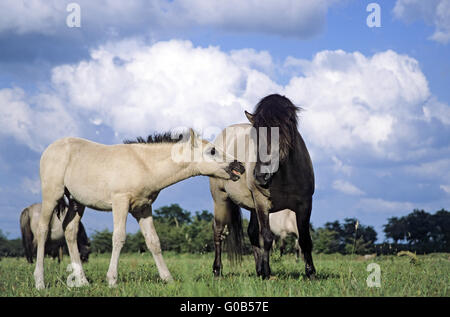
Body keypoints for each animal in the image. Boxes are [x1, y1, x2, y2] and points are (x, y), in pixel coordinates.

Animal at [33, 128, 244, 288]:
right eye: (212, 151)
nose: (240, 166)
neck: (144, 165)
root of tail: (50, 149)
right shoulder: (120, 202)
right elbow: (118, 238)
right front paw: (112, 280)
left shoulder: (143, 208)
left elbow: (154, 242)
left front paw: (168, 279)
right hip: (52, 195)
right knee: (42, 230)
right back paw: (40, 282)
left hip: (78, 203)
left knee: (70, 231)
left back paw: (82, 281)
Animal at [209, 94, 314, 278]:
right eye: (255, 138)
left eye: (279, 135)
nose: (259, 176)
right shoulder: (262, 204)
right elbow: (266, 237)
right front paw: (266, 272)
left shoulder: (305, 204)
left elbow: (304, 239)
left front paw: (310, 273)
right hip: (221, 200)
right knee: (219, 231)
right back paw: (217, 270)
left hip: (251, 206)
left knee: (251, 233)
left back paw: (258, 269)